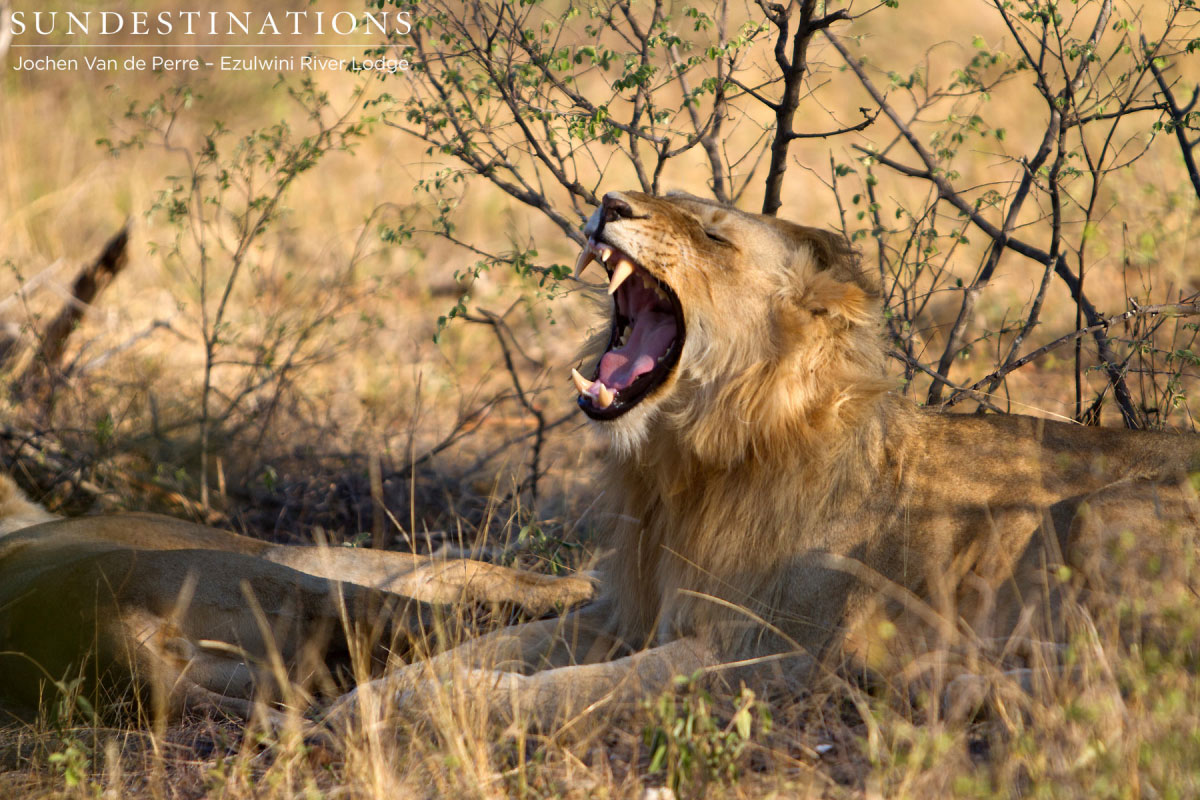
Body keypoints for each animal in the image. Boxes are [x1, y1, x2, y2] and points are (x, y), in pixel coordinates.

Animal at [329, 190, 1200, 732]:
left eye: (713, 235)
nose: (610, 203)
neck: (687, 465)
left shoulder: (768, 651)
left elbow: (571, 689)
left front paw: (453, 704)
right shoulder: (625, 613)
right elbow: (485, 649)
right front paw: (363, 703)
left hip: (1099, 508)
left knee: (1136, 682)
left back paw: (940, 681)